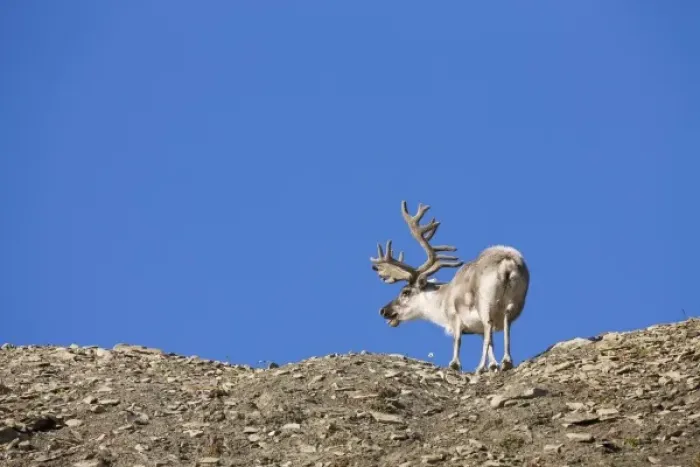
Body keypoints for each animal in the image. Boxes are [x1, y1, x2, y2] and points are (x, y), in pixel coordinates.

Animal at [370, 201, 530, 373]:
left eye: (405, 292)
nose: (383, 311)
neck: (442, 300)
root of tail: (507, 262)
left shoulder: (455, 317)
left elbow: (458, 340)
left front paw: (455, 364)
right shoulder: (476, 327)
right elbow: (490, 344)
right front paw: (493, 365)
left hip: (485, 302)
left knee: (489, 328)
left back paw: (480, 367)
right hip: (514, 302)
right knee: (506, 325)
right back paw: (506, 361)